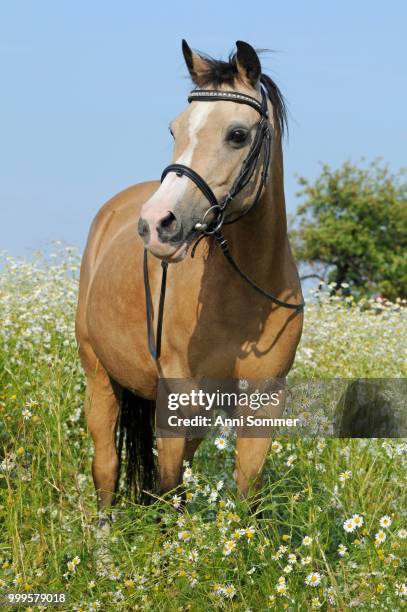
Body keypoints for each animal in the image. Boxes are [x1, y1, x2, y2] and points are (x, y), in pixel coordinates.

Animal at [75, 38, 304, 516]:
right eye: (174, 129)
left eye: (237, 135)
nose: (156, 223)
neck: (243, 292)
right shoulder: (179, 401)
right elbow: (167, 491)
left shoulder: (262, 405)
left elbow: (246, 497)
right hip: (99, 377)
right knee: (106, 469)